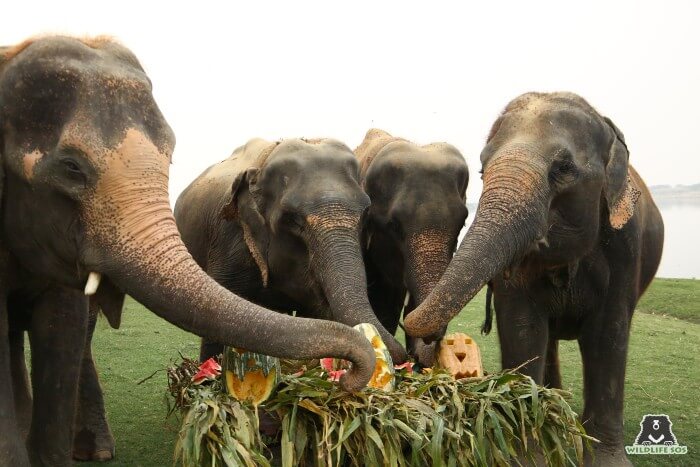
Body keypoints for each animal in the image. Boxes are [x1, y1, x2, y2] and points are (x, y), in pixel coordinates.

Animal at [402, 92, 664, 467]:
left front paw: (607, 461)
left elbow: (608, 335)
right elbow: (523, 329)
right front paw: (530, 454)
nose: (429, 341)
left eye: (563, 169)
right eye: (481, 169)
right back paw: (555, 403)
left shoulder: (626, 249)